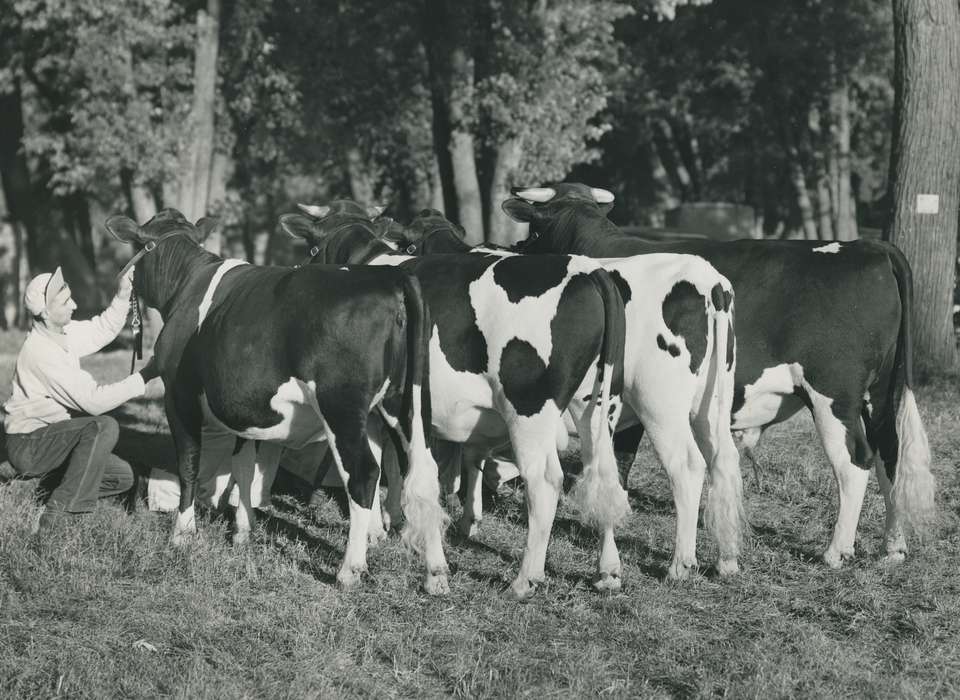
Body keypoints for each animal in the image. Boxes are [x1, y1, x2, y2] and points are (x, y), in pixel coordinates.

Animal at [104, 209, 450, 594]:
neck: (187, 284)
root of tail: (391, 277)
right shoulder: (241, 407)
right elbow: (243, 468)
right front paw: (243, 530)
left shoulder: (179, 398)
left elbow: (189, 465)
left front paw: (182, 534)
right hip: (407, 402)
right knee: (425, 472)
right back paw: (436, 574)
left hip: (341, 408)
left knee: (363, 474)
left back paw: (349, 570)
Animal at [280, 200, 628, 599]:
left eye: (310, 248)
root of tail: (589, 270)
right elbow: (394, 463)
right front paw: (391, 520)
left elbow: (378, 464)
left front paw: (376, 531)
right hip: (598, 402)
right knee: (605, 473)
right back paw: (608, 571)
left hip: (528, 407)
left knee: (545, 483)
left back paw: (525, 579)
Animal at [385, 208, 744, 579]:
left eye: (410, 244)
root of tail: (710, 280)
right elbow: (472, 455)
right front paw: (469, 518)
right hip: (705, 405)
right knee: (720, 460)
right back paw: (725, 558)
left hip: (658, 406)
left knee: (685, 466)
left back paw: (678, 563)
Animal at [502, 182, 936, 568]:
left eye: (533, 230)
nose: (514, 252)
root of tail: (869, 246)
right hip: (880, 393)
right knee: (890, 453)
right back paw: (893, 546)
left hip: (834, 395)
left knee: (854, 462)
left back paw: (837, 551)